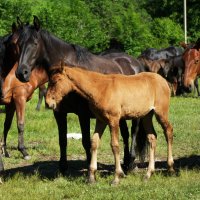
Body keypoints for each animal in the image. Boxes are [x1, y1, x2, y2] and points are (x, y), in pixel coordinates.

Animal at [0, 31, 48, 159]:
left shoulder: (10, 104)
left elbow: (7, 125)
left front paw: (5, 151)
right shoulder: (19, 99)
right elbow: (20, 124)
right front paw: (23, 150)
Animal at [12, 16, 147, 173]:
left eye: (35, 43)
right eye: (19, 44)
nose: (21, 73)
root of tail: (136, 64)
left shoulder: (83, 114)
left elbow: (86, 141)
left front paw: (90, 168)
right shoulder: (59, 113)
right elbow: (62, 140)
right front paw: (63, 168)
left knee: (133, 132)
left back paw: (131, 162)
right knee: (125, 133)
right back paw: (125, 163)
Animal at [46, 65, 174, 184]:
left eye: (56, 81)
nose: (48, 103)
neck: (101, 88)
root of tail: (163, 81)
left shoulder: (114, 120)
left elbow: (115, 145)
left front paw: (117, 177)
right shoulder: (101, 120)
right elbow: (94, 143)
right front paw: (91, 177)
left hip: (161, 113)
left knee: (168, 131)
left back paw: (170, 168)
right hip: (147, 116)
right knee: (152, 137)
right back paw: (148, 174)